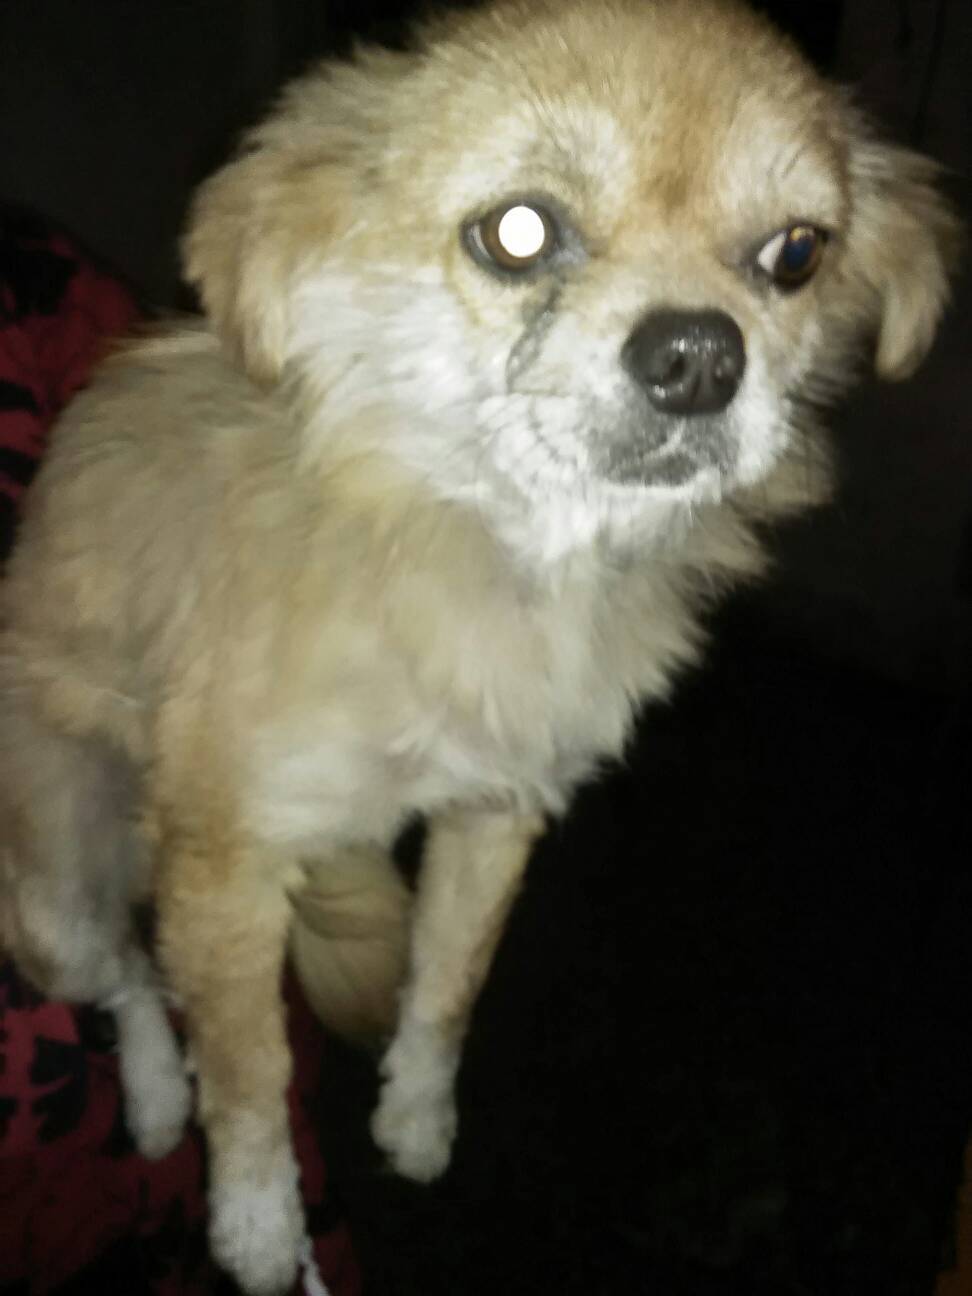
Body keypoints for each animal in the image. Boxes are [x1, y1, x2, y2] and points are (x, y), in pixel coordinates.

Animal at [0, 0, 959, 1291]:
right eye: (517, 232)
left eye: (796, 256)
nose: (702, 355)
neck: (491, 544)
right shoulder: (225, 865)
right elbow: (252, 1075)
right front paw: (260, 1233)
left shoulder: (497, 811)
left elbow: (448, 983)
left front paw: (416, 1122)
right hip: (57, 902)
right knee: (133, 978)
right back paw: (156, 1103)